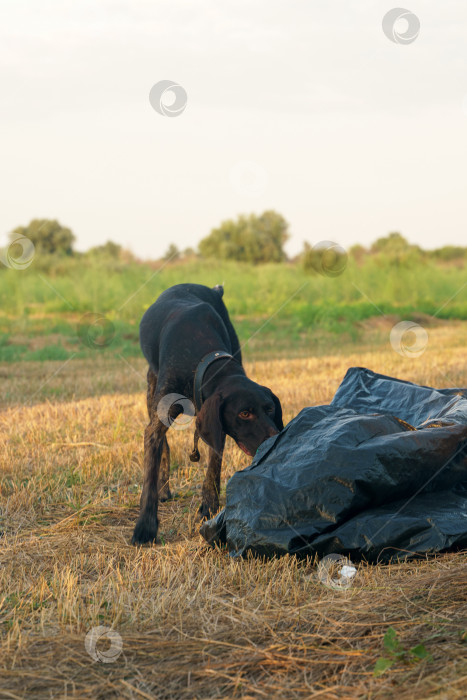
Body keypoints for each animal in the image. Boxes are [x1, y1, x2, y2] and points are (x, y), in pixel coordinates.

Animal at [133, 282, 286, 544]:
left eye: (270, 409)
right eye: (244, 414)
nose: (275, 440)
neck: (204, 361)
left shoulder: (216, 427)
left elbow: (214, 464)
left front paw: (209, 507)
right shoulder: (158, 421)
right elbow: (149, 476)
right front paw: (145, 526)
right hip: (151, 389)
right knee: (163, 443)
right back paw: (164, 490)